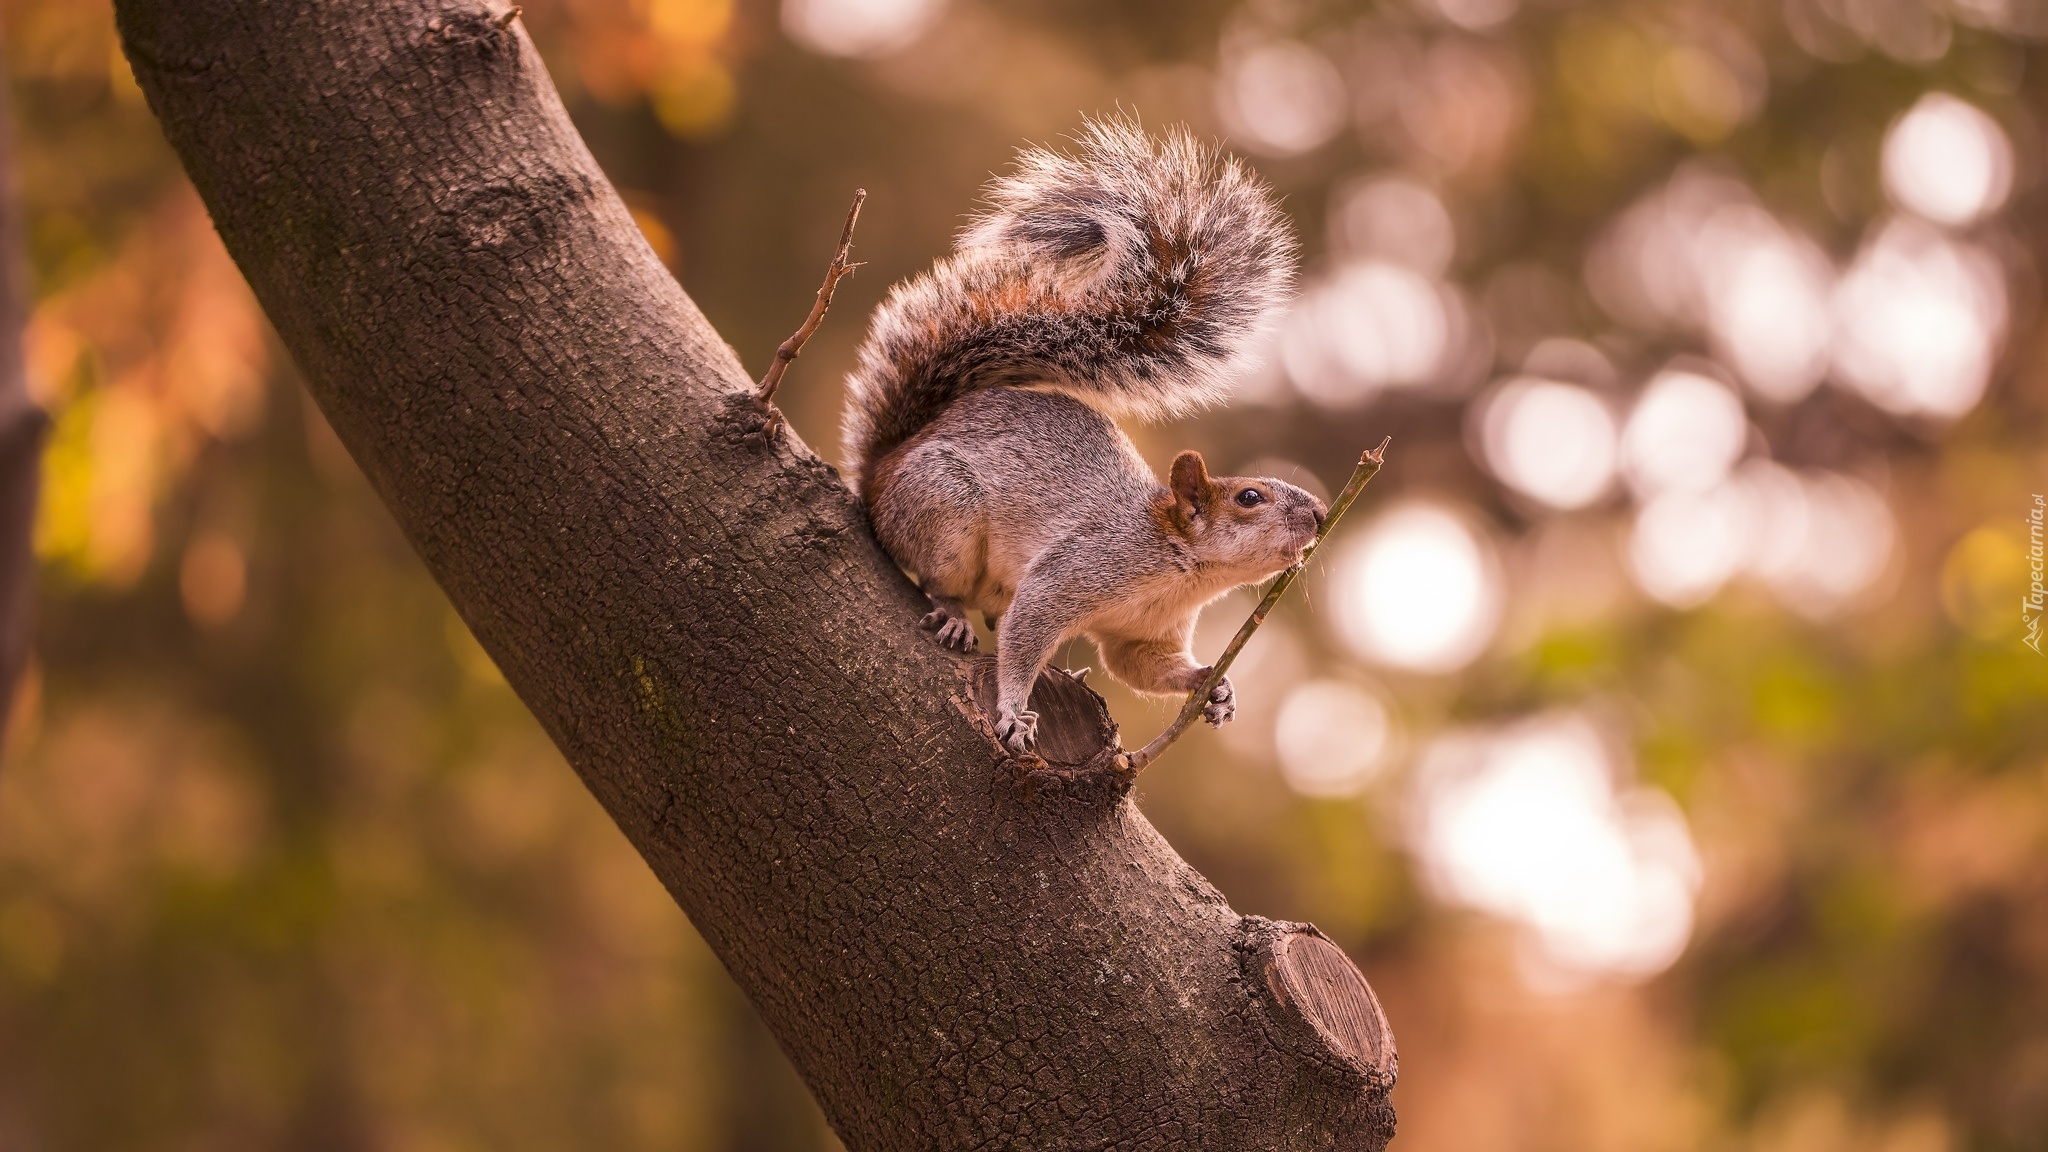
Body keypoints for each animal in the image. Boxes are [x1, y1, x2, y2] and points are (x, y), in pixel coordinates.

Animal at [839, 120, 1318, 754]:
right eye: (1249, 497)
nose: (1320, 515)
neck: (1181, 569)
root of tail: (882, 467)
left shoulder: (1144, 634)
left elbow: (1137, 665)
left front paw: (1212, 686)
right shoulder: (1076, 569)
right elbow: (1027, 633)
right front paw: (1013, 712)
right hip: (941, 499)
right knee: (937, 575)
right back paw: (952, 614)